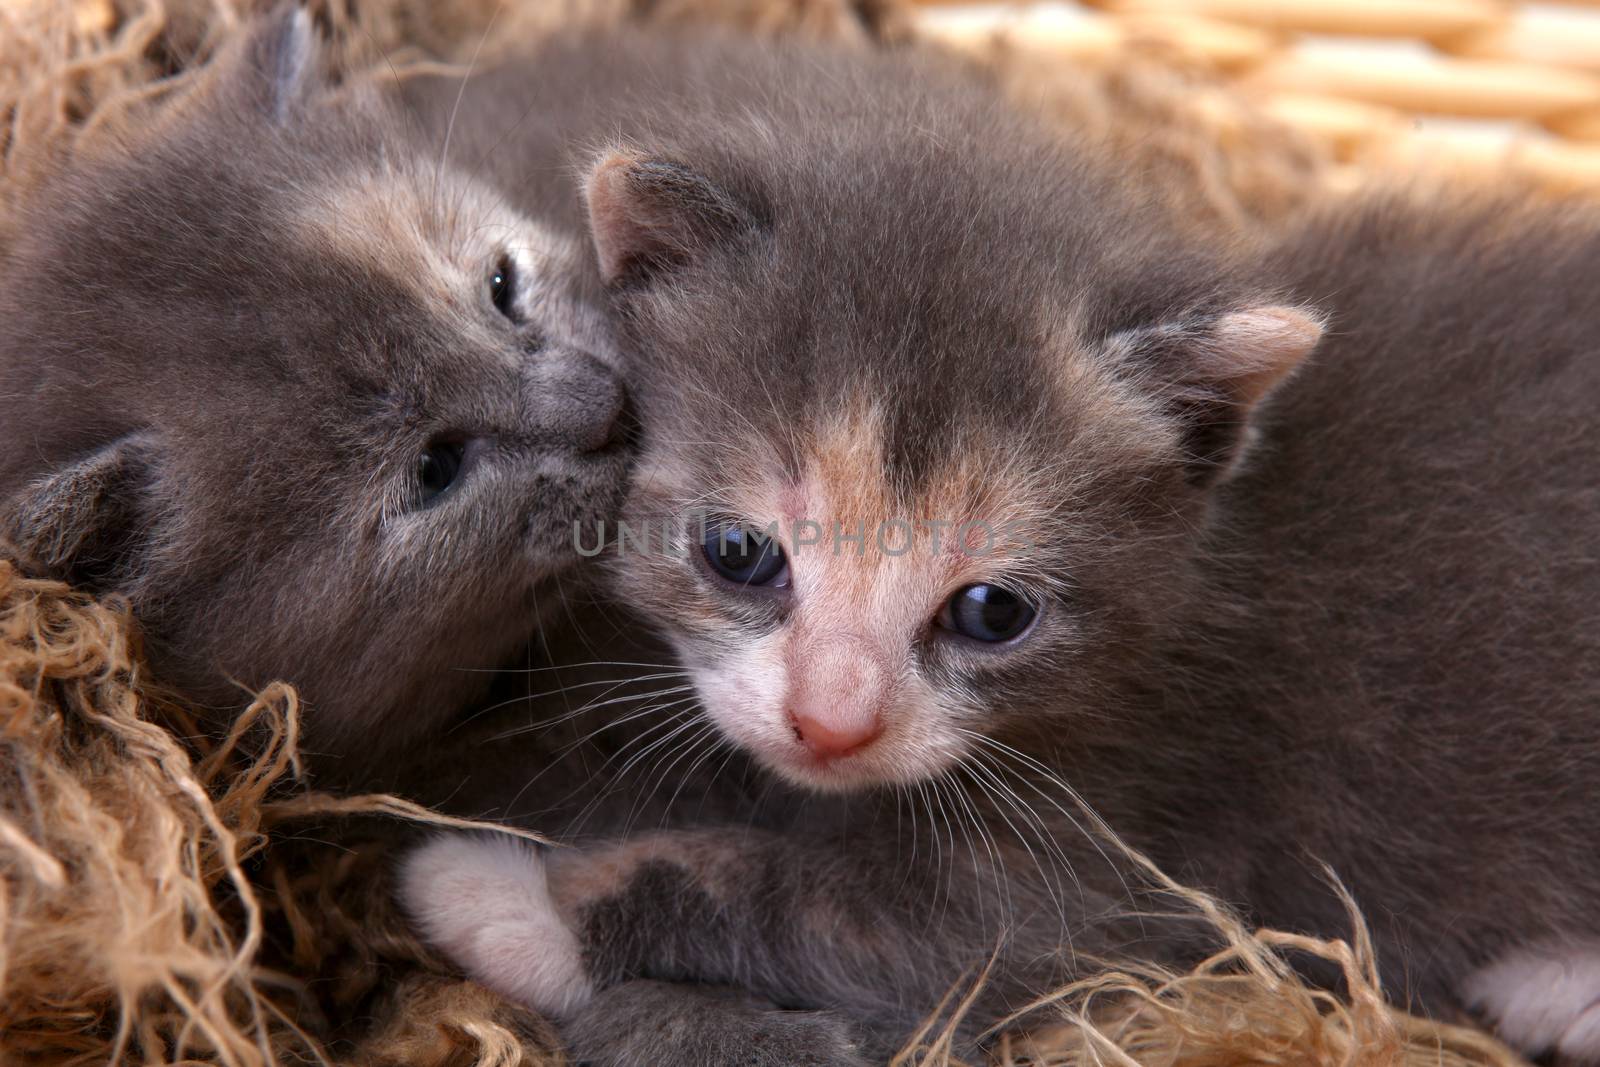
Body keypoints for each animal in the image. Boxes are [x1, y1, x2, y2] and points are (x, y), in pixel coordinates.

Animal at [396, 22, 1600, 1067]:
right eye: (736, 550)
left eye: (992, 612)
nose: (831, 726)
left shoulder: (1127, 854)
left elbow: (833, 911)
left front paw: (495, 894)